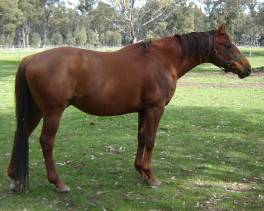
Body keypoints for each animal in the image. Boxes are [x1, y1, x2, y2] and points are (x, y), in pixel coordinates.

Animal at [7, 23, 252, 192]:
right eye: (226, 45)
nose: (247, 68)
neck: (163, 60)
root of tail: (31, 58)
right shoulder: (155, 109)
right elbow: (151, 140)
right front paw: (151, 177)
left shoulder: (143, 110)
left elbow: (141, 138)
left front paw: (140, 171)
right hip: (53, 113)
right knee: (46, 142)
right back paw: (58, 183)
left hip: (36, 111)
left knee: (20, 134)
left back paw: (13, 178)